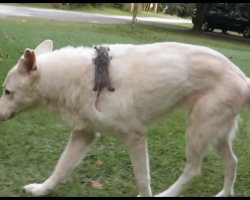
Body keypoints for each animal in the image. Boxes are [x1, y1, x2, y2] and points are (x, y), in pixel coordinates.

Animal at [0, 39, 250, 197]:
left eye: (7, 91)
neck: (82, 77)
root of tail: (244, 79)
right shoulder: (83, 134)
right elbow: (61, 168)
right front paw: (42, 190)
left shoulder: (135, 138)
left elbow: (143, 180)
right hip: (215, 133)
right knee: (232, 162)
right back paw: (225, 193)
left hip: (197, 131)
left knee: (193, 170)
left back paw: (168, 194)